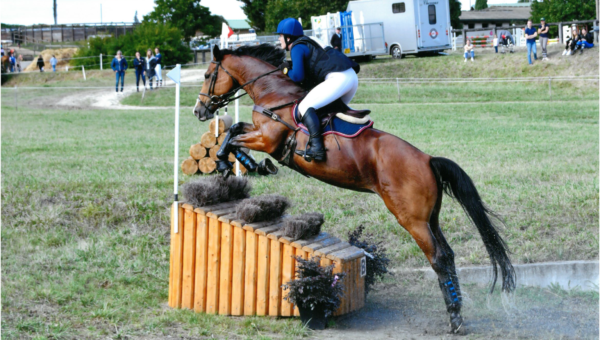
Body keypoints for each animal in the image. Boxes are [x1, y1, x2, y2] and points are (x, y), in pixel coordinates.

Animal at [193, 44, 516, 332]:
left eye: (208, 75)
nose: (199, 110)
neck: (274, 93)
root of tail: (427, 160)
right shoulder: (259, 134)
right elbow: (235, 130)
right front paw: (250, 165)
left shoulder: (268, 139)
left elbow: (232, 137)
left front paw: (231, 163)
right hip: (429, 218)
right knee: (447, 254)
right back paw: (456, 310)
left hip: (411, 219)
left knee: (438, 258)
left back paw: (455, 317)